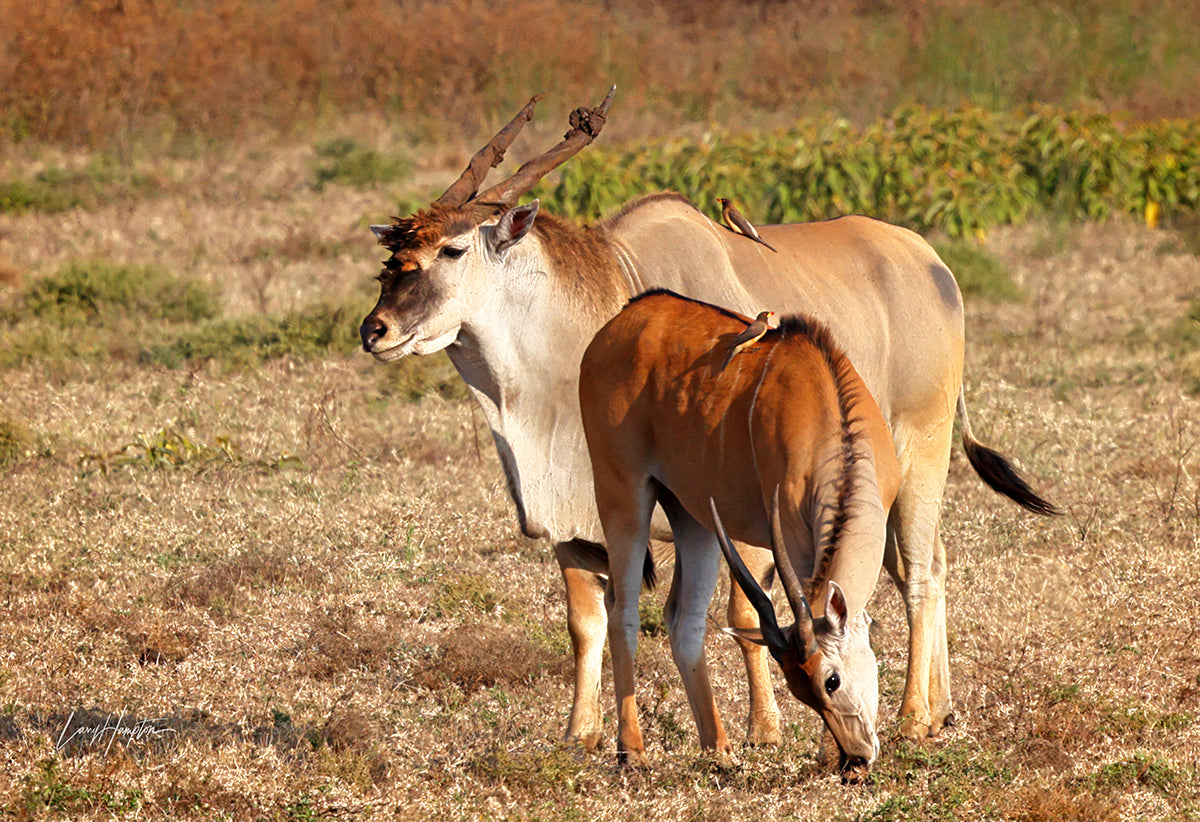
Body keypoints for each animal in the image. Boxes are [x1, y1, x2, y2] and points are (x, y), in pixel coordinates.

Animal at [580, 290, 902, 777]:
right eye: (818, 685)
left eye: (829, 680)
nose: (856, 759)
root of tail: (624, 318)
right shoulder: (794, 539)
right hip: (622, 494)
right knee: (622, 611)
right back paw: (631, 750)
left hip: (692, 515)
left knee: (684, 619)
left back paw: (719, 748)